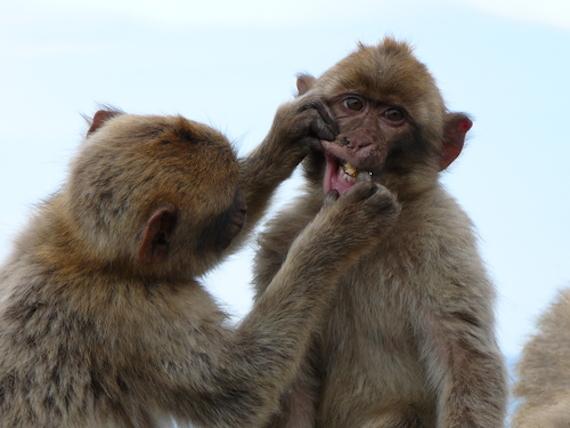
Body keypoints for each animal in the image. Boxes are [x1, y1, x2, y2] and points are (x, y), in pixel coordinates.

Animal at [0, 98, 400, 426]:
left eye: (240, 202)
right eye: (234, 217)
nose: (241, 209)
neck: (87, 254)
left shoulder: (48, 220)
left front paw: (284, 139)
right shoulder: (142, 317)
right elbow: (242, 387)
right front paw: (337, 233)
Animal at [253, 37, 506, 428]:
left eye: (393, 116)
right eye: (353, 104)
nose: (357, 141)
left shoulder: (442, 236)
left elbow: (466, 358)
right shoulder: (281, 242)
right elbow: (291, 374)